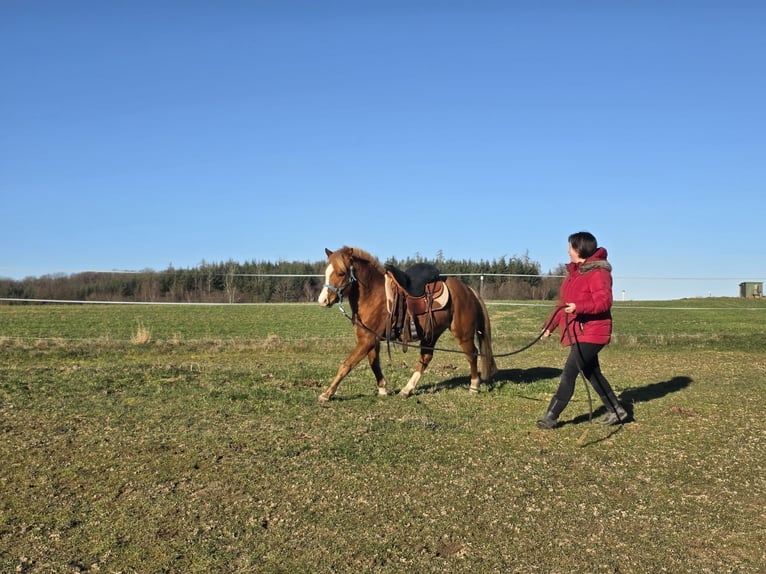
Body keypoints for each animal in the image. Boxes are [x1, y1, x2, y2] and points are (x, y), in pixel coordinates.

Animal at [317, 246, 497, 401]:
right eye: (326, 272)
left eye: (341, 273)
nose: (322, 300)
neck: (373, 294)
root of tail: (468, 289)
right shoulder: (370, 339)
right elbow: (374, 363)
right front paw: (383, 389)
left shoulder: (367, 339)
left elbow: (346, 365)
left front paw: (327, 394)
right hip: (431, 333)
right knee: (426, 358)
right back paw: (406, 390)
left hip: (463, 333)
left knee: (472, 355)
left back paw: (474, 386)